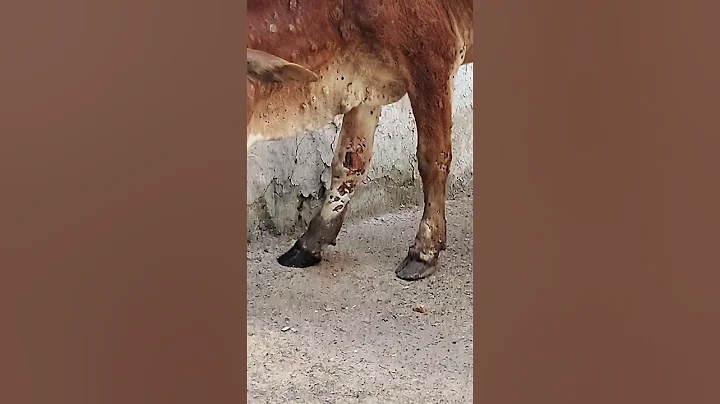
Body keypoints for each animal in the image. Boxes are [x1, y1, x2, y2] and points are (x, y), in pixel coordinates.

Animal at [247, 0, 473, 280]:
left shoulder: (433, 55)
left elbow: (433, 158)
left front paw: (424, 251)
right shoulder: (363, 79)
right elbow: (350, 160)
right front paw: (310, 243)